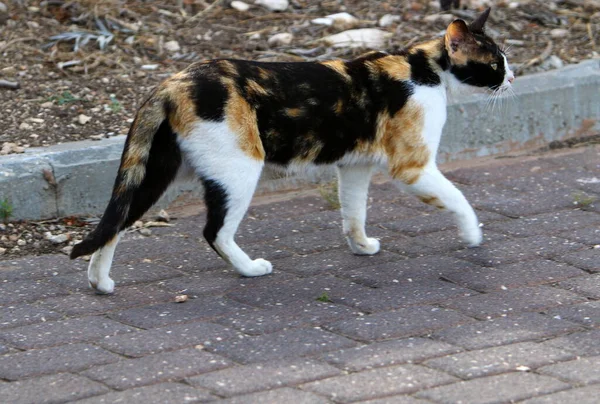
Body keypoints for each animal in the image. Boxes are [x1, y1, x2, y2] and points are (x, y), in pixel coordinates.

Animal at [71, 9, 516, 294]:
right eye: (495, 64)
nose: (512, 77)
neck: (424, 70)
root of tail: (173, 82)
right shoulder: (413, 167)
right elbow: (458, 197)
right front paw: (473, 234)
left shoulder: (355, 168)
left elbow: (354, 212)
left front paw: (361, 246)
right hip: (239, 171)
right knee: (214, 231)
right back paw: (250, 269)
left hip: (157, 175)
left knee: (116, 223)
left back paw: (100, 283)